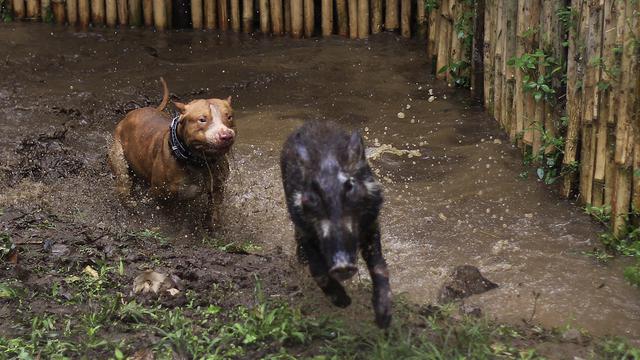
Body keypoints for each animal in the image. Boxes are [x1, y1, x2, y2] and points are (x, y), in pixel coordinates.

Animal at [109, 78, 236, 228]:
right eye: (202, 119)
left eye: (229, 117)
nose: (226, 135)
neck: (198, 162)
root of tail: (134, 112)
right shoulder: (161, 195)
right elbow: (172, 216)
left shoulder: (217, 187)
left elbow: (214, 209)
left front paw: (212, 224)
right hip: (119, 158)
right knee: (123, 183)